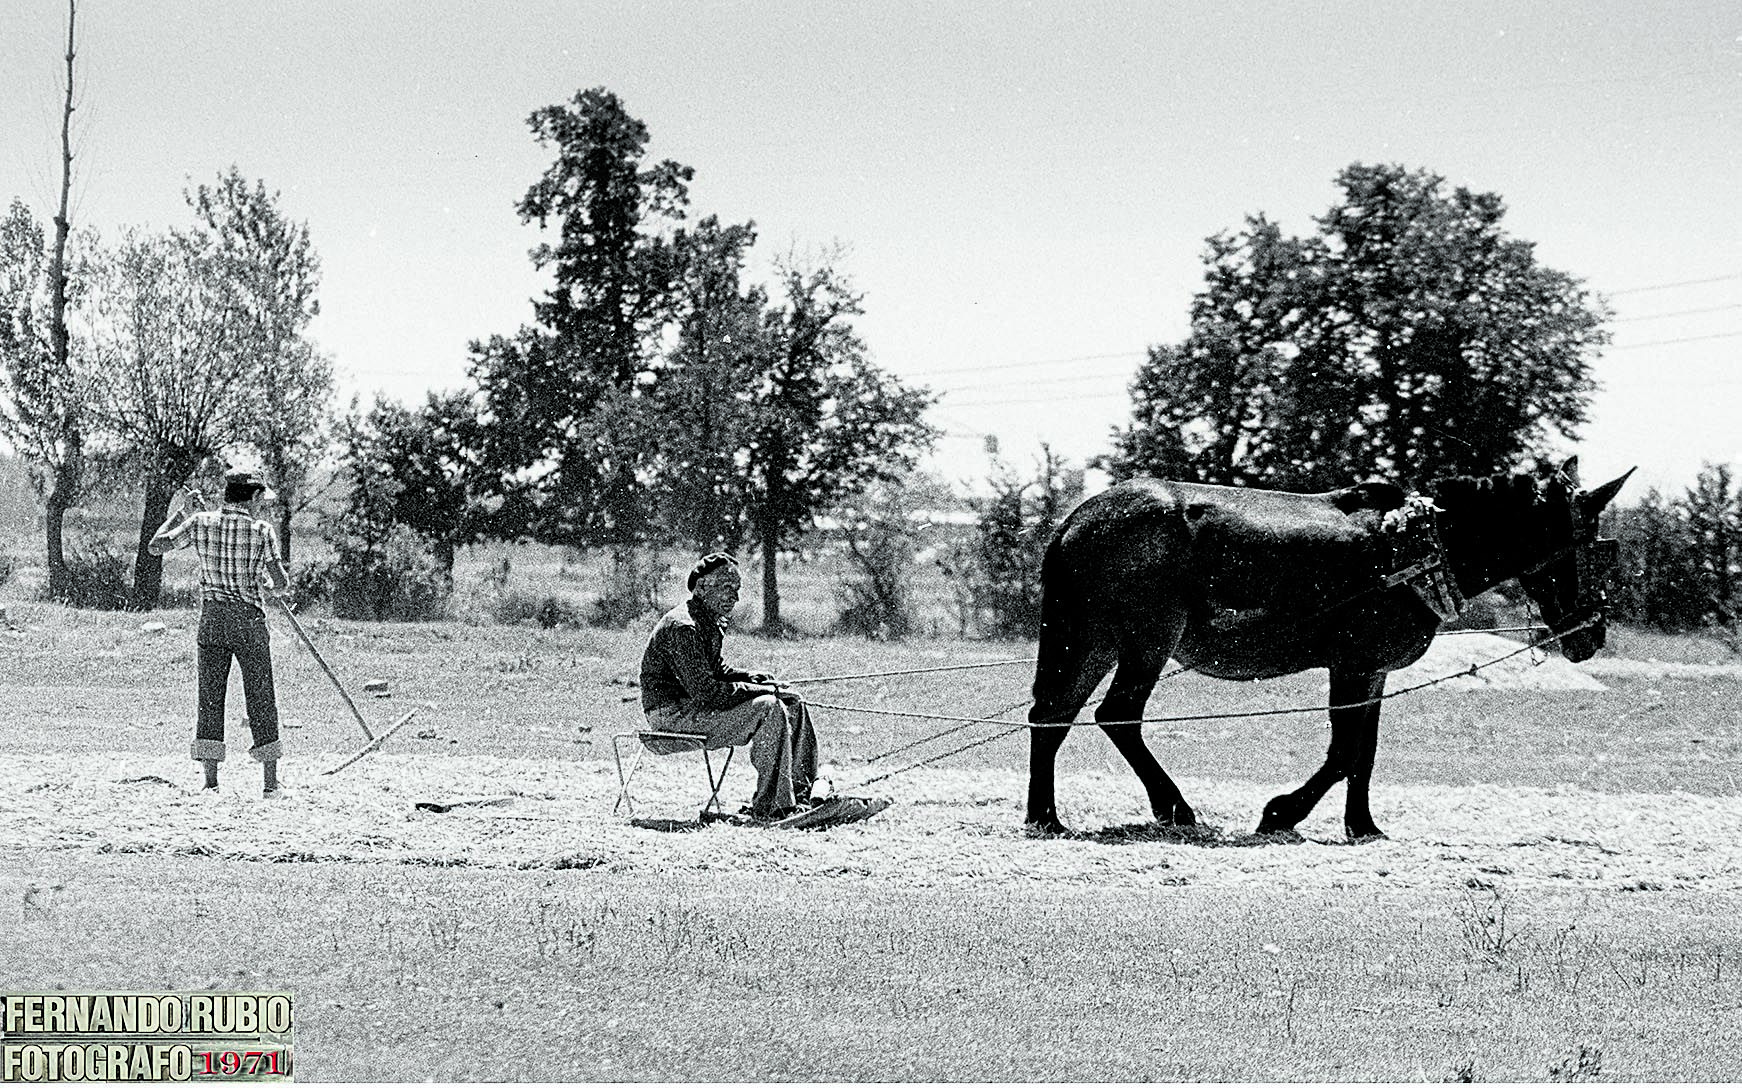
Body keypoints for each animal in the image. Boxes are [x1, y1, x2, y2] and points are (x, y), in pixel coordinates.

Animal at [1017, 453, 1630, 836]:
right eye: (1600, 546)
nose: (1593, 633)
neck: (1419, 547)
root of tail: (1076, 519)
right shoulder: (1354, 663)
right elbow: (1341, 753)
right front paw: (1282, 814)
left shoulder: (1374, 671)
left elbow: (1365, 753)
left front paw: (1363, 826)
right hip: (1148, 637)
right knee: (1117, 715)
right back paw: (1173, 808)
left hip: (1092, 639)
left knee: (1051, 715)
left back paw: (1045, 815)